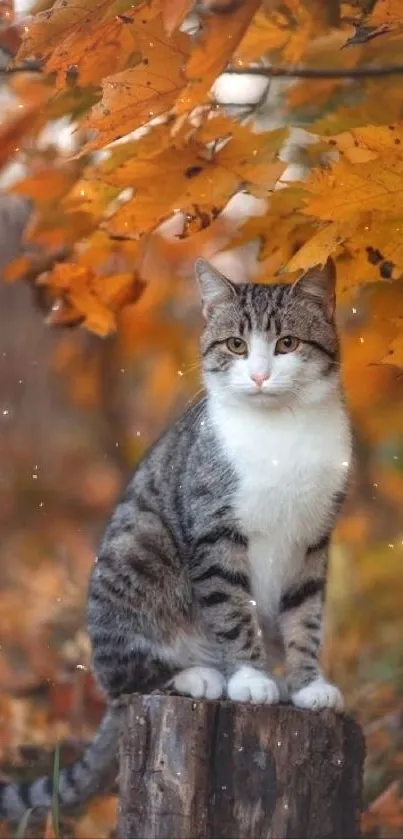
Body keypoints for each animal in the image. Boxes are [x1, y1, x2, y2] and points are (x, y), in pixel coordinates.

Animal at [0, 260, 352, 824]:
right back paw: (198, 675)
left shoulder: (313, 538)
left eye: (287, 343)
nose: (259, 375)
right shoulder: (214, 532)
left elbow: (305, 617)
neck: (282, 434)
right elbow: (232, 610)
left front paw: (307, 684)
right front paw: (250, 677)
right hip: (138, 548)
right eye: (236, 345)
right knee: (126, 683)